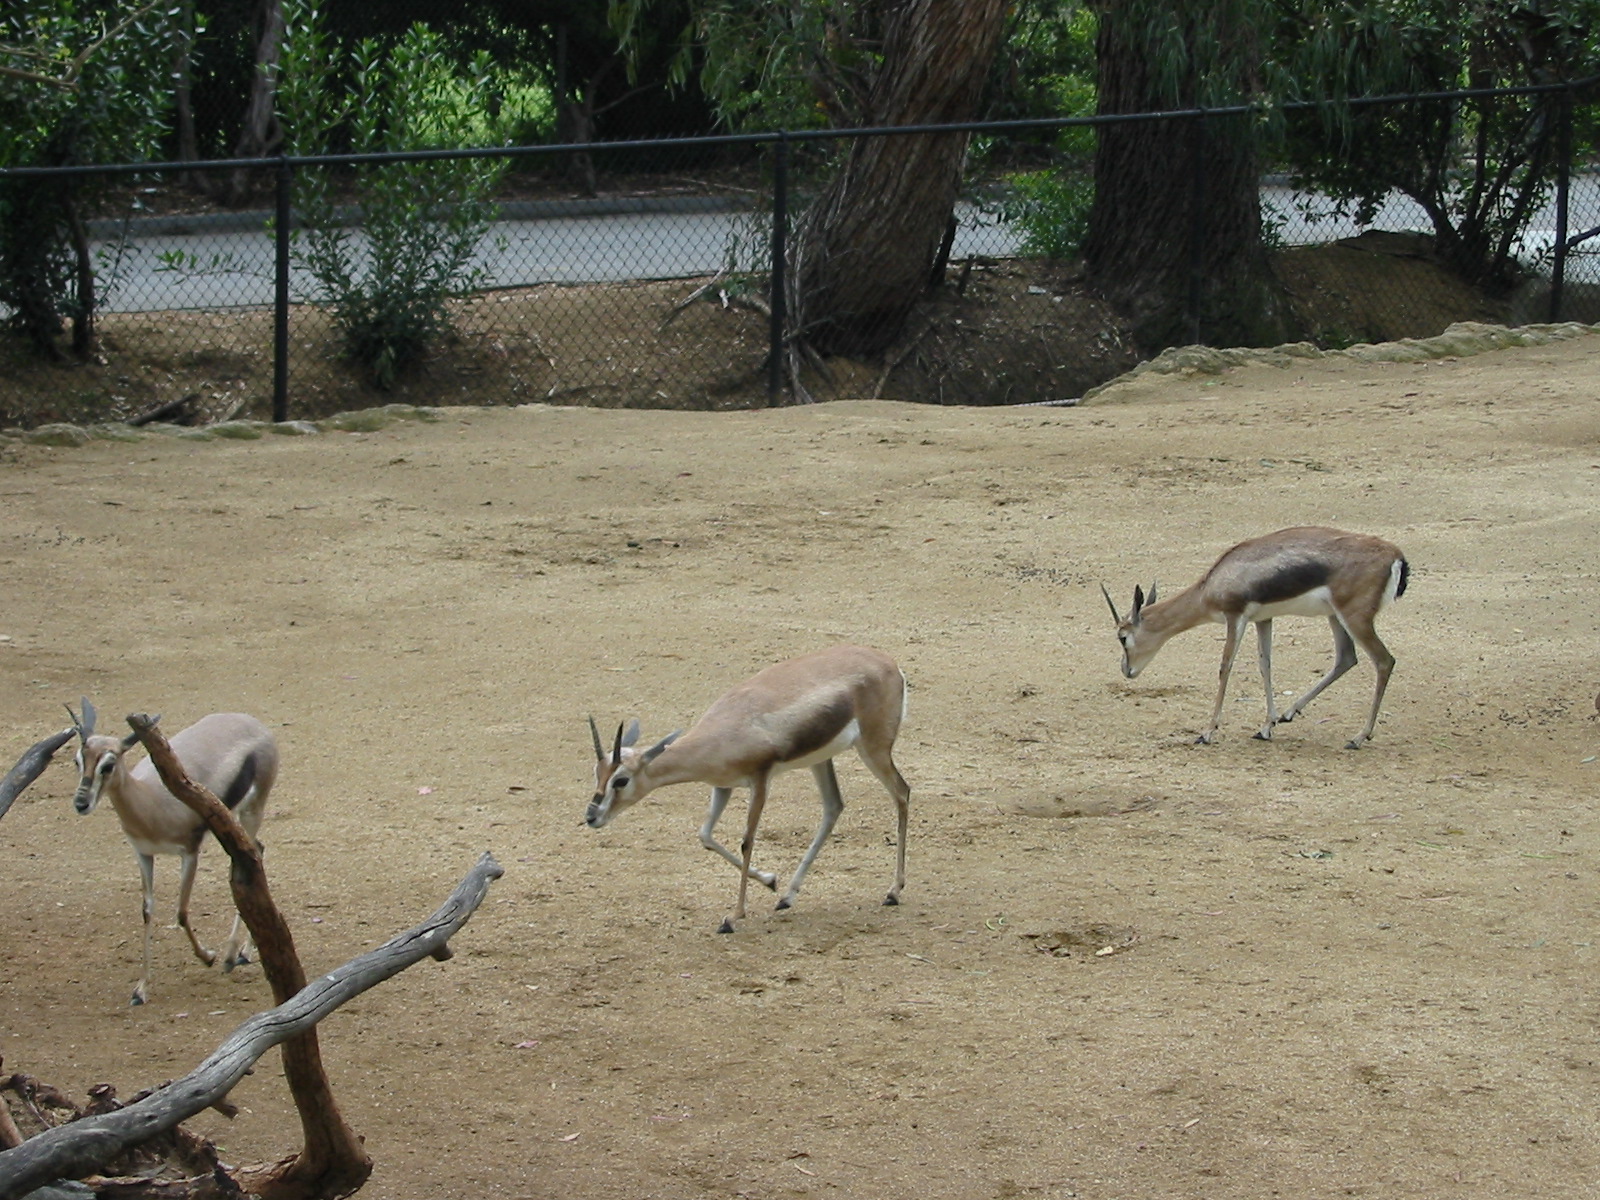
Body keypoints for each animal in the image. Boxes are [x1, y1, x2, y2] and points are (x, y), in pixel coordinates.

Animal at [66, 699, 279, 1004]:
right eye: (78, 760)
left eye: (108, 764)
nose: (81, 803)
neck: (150, 801)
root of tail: (255, 724)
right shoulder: (144, 854)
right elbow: (147, 910)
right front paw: (140, 989)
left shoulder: (189, 852)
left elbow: (181, 912)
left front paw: (208, 957)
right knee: (258, 850)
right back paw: (242, 953)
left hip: (251, 812)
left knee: (252, 860)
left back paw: (230, 956)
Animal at [586, 645, 911, 933]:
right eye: (597, 773)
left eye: (621, 780)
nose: (591, 817)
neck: (725, 730)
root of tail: (889, 662)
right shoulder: (722, 785)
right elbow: (705, 835)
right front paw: (770, 880)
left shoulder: (760, 779)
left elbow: (747, 841)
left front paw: (733, 917)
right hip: (820, 759)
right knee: (834, 806)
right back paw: (787, 897)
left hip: (873, 748)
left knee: (901, 792)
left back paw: (893, 891)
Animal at [1102, 526, 1408, 749]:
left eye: (1122, 637)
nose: (1126, 670)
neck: (1211, 584)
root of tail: (1396, 555)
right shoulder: (1263, 619)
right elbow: (1265, 665)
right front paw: (1266, 727)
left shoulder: (1235, 616)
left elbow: (1225, 667)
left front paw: (1207, 732)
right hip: (1335, 616)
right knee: (1346, 658)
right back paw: (1289, 714)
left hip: (1354, 618)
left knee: (1384, 661)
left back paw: (1359, 737)